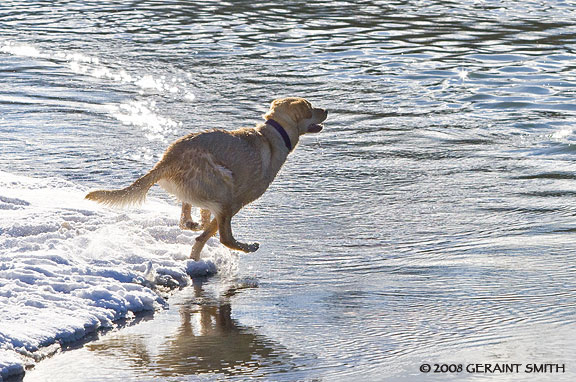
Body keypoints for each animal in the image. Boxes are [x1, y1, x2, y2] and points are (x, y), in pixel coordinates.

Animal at [86, 97, 328, 262]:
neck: (273, 134)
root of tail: (168, 158)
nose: (326, 110)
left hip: (199, 186)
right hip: (224, 184)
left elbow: (204, 225)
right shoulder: (237, 202)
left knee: (186, 218)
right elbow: (214, 231)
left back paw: (194, 227)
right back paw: (247, 246)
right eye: (310, 108)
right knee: (224, 237)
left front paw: (198, 236)